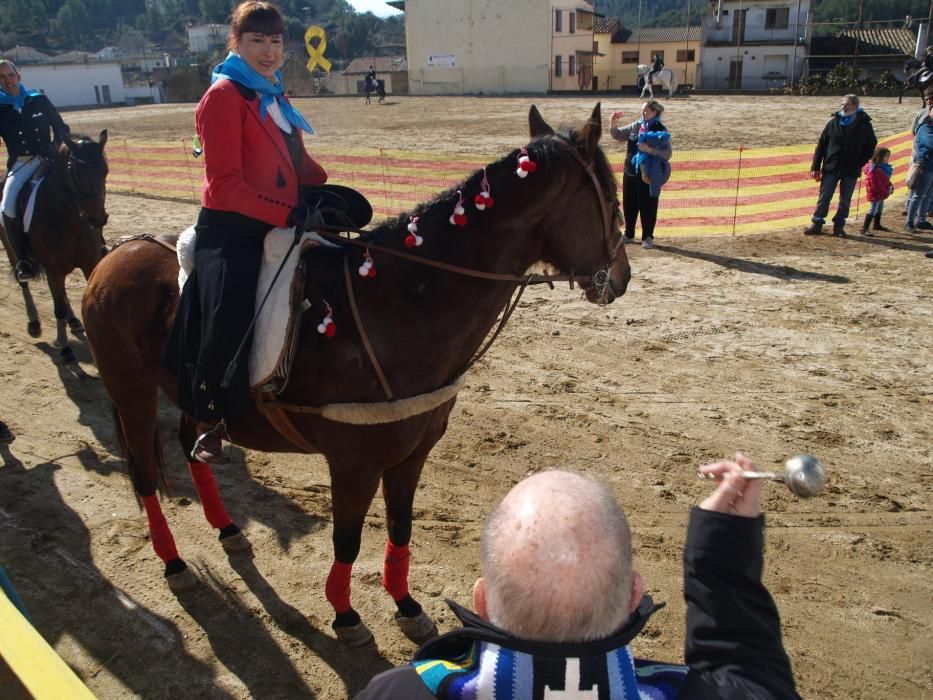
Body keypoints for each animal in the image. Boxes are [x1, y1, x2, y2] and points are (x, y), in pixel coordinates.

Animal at [1, 129, 109, 364]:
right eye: (77, 172)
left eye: (105, 170)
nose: (97, 219)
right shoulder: (53, 269)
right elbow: (57, 307)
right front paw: (66, 349)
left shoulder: (89, 263)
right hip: (14, 253)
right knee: (25, 284)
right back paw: (34, 324)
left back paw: (74, 321)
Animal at [83, 104, 628, 644]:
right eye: (613, 198)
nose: (621, 277)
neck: (398, 304)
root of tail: (117, 252)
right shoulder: (353, 464)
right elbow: (346, 539)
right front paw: (344, 613)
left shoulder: (412, 454)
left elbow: (400, 528)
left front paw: (405, 604)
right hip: (132, 392)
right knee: (143, 472)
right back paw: (173, 560)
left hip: (189, 393)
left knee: (188, 444)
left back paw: (229, 530)